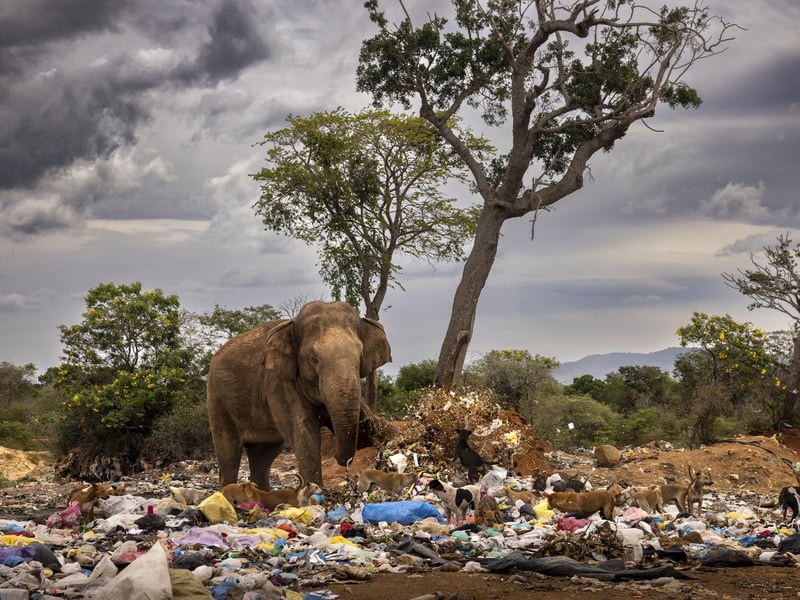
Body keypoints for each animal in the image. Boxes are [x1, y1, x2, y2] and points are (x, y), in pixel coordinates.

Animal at [206, 300, 392, 489]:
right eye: (314, 358)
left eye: (360, 356)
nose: (338, 458)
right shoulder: (280, 382)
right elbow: (305, 434)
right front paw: (315, 490)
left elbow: (365, 429)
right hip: (217, 398)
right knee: (229, 454)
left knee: (263, 455)